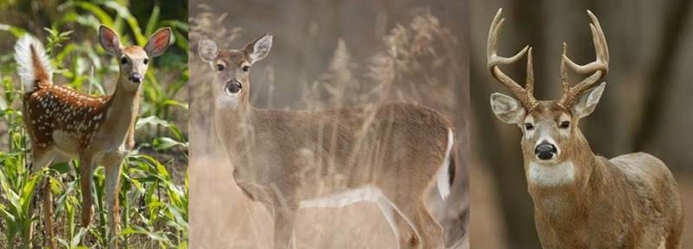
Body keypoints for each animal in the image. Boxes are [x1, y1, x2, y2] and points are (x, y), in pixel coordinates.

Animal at [14, 25, 172, 247]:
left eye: (145, 60)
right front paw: (77, 242)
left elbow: (114, 212)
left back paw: (50, 242)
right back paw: (29, 241)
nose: (136, 77)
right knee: (27, 190)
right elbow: (88, 209)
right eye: (123, 59)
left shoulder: (116, 159)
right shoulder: (86, 151)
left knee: (45, 188)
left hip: (59, 154)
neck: (112, 129)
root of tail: (39, 87)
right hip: (40, 142)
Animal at [197, 34, 456, 248]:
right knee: (409, 236)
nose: (234, 86)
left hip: (407, 181)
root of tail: (447, 127)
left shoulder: (287, 191)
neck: (250, 141)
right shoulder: (272, 202)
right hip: (386, 191)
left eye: (246, 67)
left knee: (432, 230)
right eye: (219, 66)